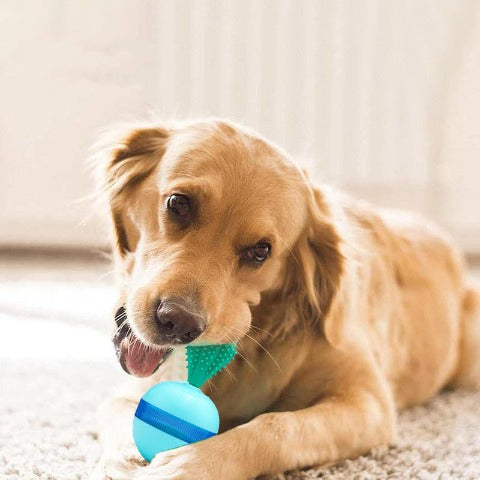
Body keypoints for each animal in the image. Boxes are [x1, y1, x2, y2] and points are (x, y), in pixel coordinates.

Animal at [92, 119, 480, 480]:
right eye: (179, 203)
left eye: (261, 251)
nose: (177, 323)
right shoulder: (129, 388)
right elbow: (122, 413)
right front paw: (124, 459)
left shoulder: (368, 402)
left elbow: (277, 426)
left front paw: (193, 463)